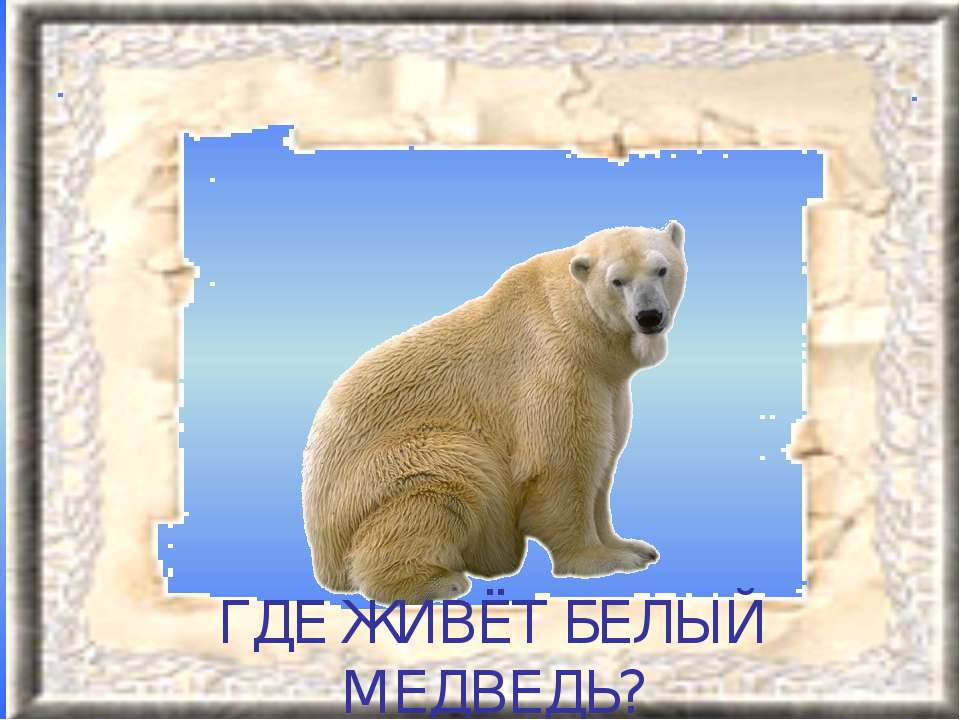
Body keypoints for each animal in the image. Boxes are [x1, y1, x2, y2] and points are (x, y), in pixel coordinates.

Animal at [301, 221, 687, 603]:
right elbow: (563, 461)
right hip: (386, 474)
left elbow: (603, 463)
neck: (576, 325)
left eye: (661, 269)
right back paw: (439, 582)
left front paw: (632, 547)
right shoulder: (555, 367)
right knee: (452, 474)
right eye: (617, 280)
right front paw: (602, 559)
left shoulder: (608, 388)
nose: (649, 316)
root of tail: (323, 555)